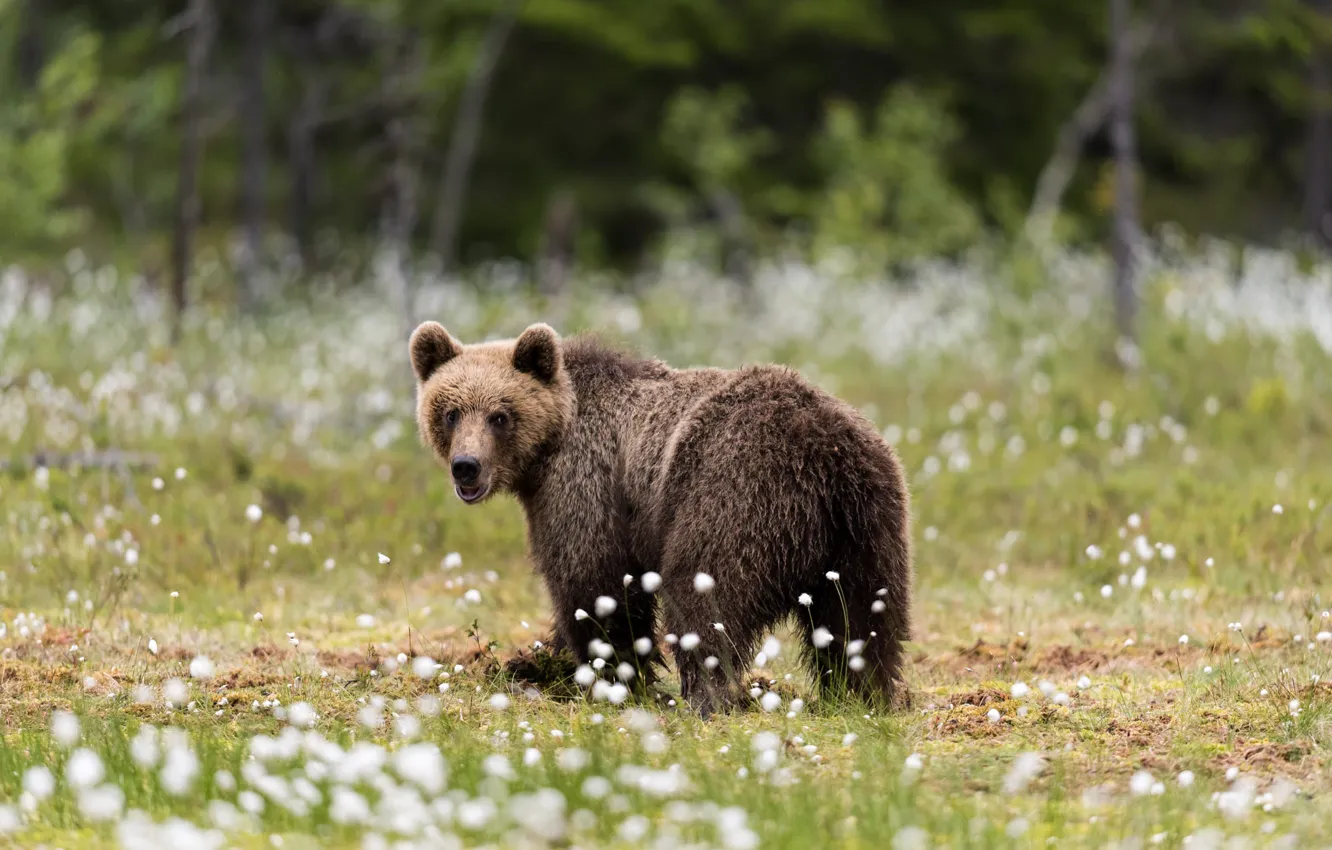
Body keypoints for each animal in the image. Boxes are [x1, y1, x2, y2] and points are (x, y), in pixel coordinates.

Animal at [408, 320, 913, 716]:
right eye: (450, 412)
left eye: (500, 415)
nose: (466, 466)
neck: (549, 447)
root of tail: (822, 449)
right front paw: (544, 663)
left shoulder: (586, 483)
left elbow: (593, 582)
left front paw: (612, 677)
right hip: (867, 522)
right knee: (862, 616)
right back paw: (859, 693)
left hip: (734, 491)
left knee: (704, 595)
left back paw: (705, 698)